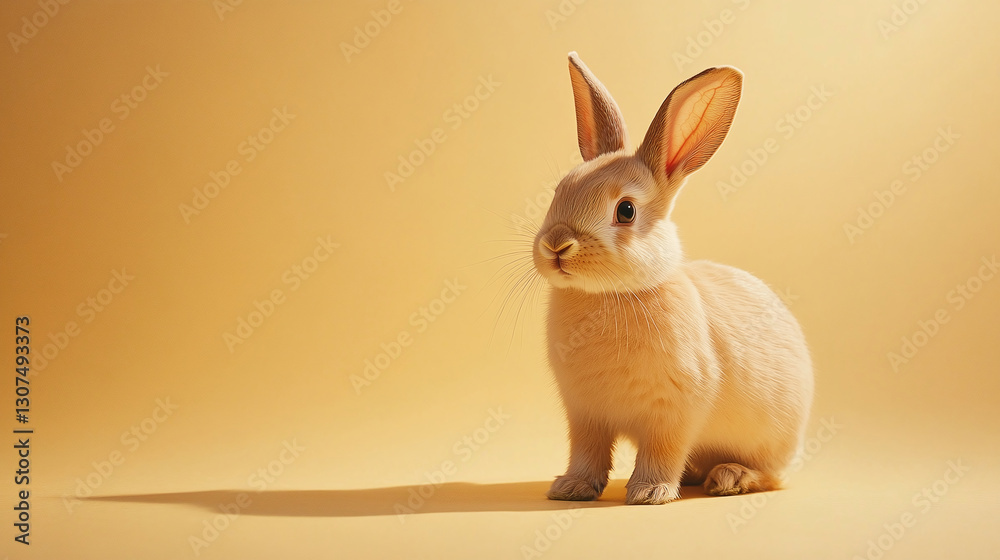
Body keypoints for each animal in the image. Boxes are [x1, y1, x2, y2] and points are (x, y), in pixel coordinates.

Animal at [532, 52, 814, 505]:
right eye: (559, 191)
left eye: (626, 211)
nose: (556, 244)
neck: (610, 295)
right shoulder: (585, 414)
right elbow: (587, 453)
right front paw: (570, 487)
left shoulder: (676, 410)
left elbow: (663, 450)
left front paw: (649, 492)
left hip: (774, 440)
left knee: (774, 475)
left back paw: (729, 477)